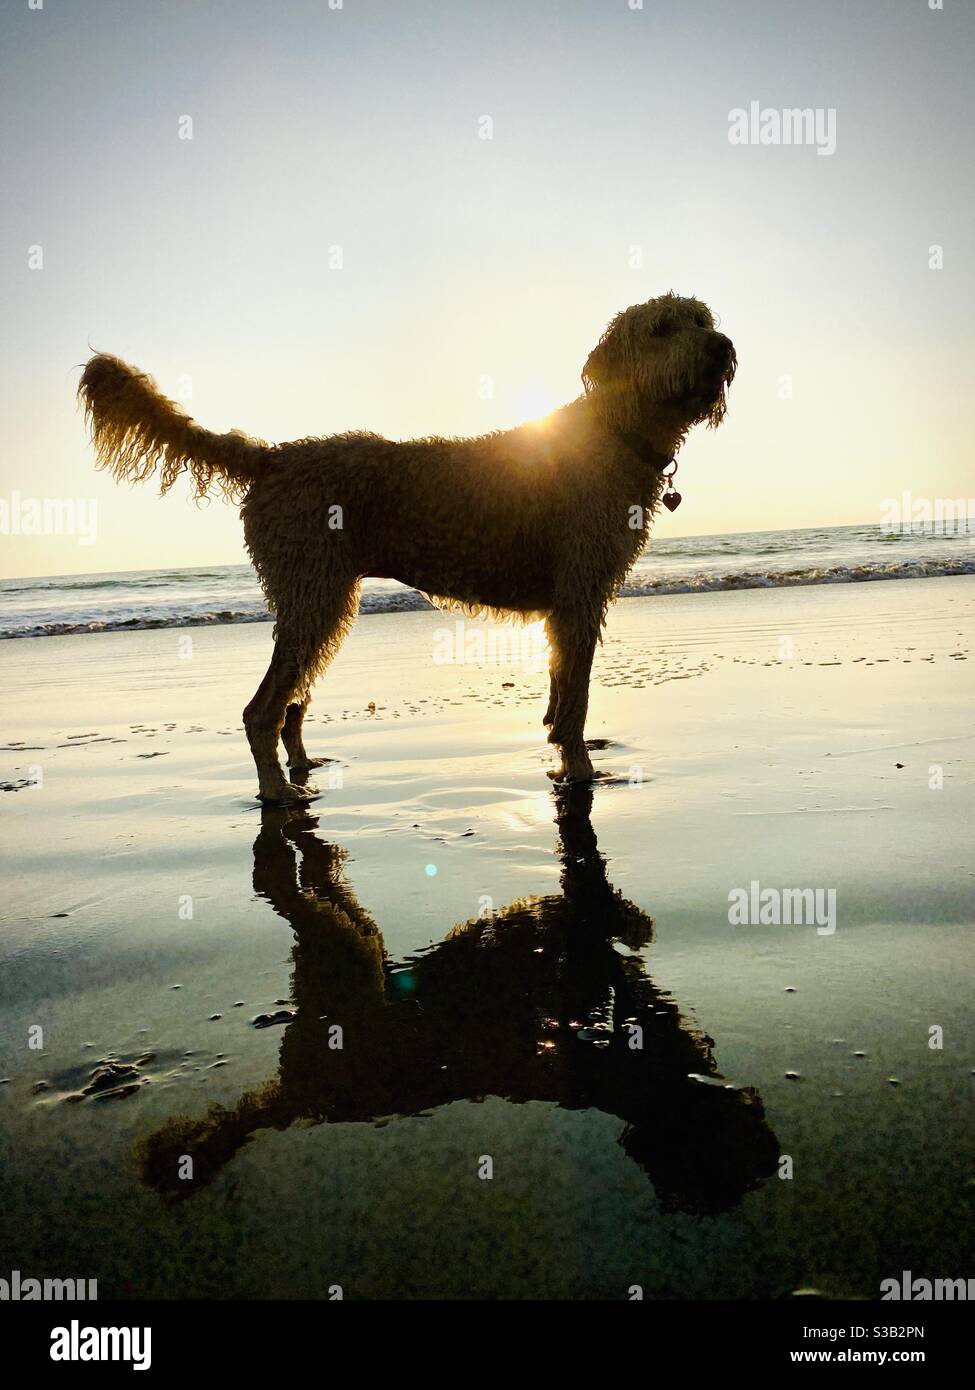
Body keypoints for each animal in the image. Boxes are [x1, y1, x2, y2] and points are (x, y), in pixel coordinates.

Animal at [79, 290, 734, 806]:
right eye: (662, 327)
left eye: (702, 319)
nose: (721, 347)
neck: (614, 433)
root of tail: (273, 456)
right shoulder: (579, 594)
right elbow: (574, 699)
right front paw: (580, 770)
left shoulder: (570, 604)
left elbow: (558, 693)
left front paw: (560, 744)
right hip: (313, 594)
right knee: (261, 710)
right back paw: (277, 793)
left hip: (321, 599)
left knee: (292, 703)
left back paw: (305, 766)